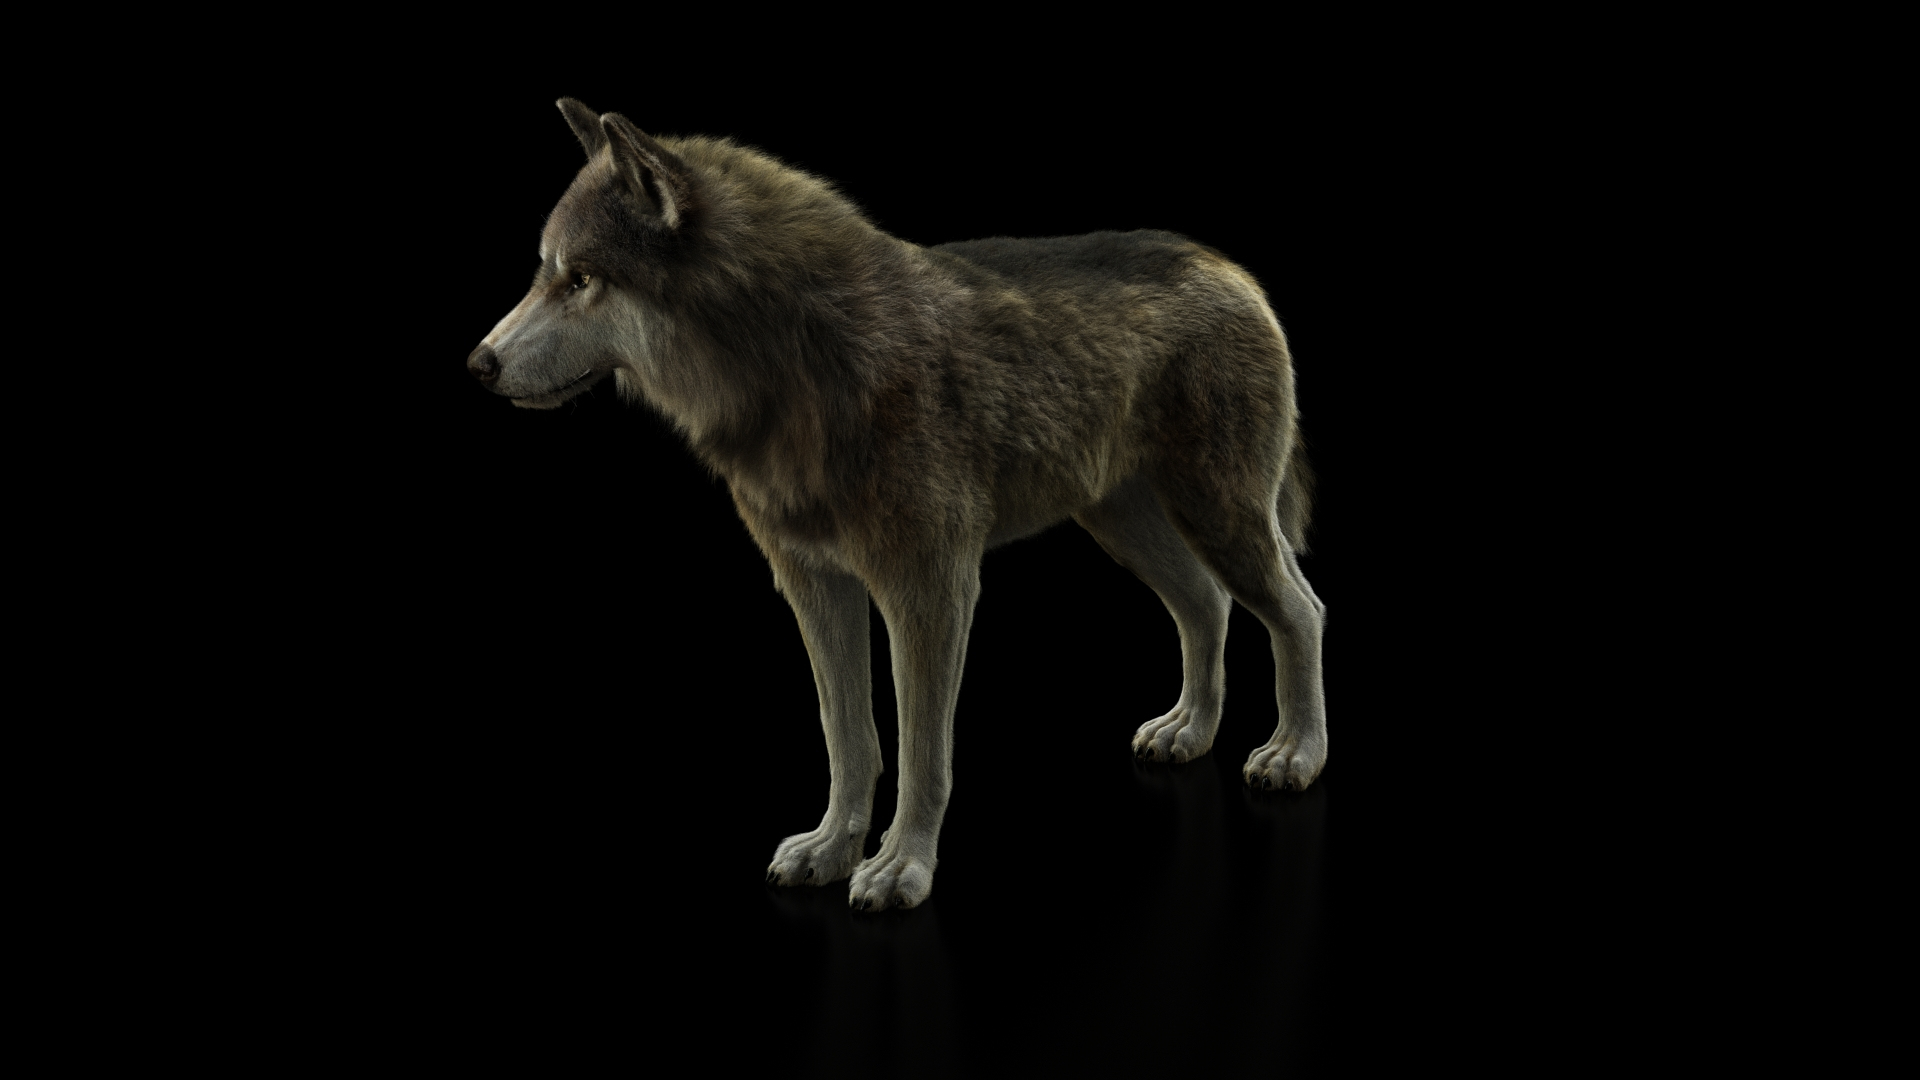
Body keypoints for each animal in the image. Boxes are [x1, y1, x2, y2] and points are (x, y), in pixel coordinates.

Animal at [467, 99, 1330, 910]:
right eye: (544, 272)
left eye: (582, 279)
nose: (478, 363)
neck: (798, 366)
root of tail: (1232, 270)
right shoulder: (816, 587)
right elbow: (850, 738)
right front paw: (830, 849)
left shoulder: (930, 590)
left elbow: (922, 752)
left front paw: (900, 868)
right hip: (1128, 525)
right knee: (1207, 605)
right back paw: (1189, 731)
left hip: (1217, 516)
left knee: (1299, 609)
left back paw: (1295, 753)